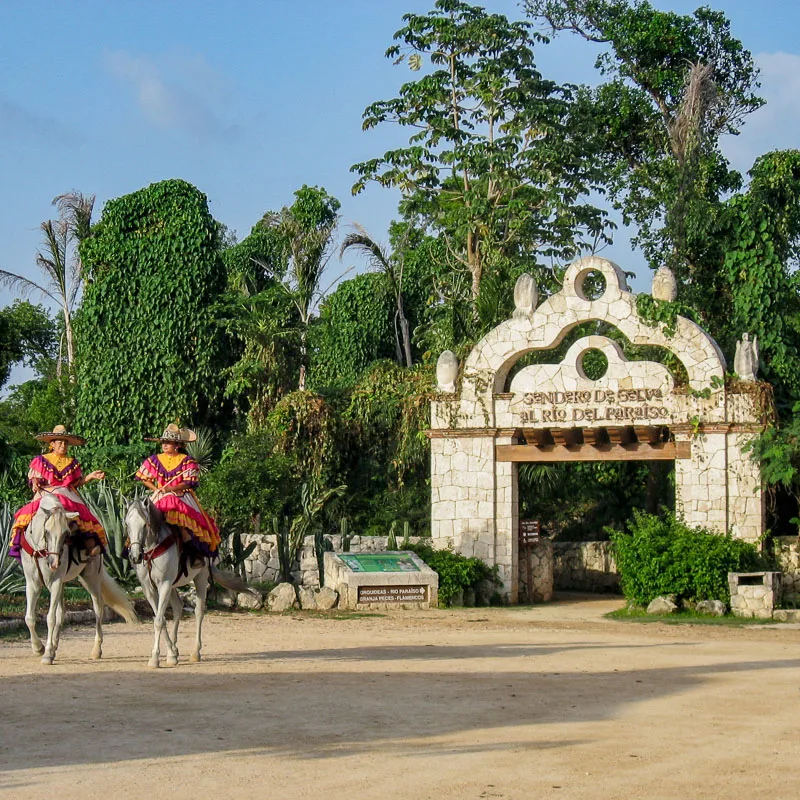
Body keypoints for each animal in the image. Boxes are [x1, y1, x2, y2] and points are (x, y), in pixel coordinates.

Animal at [20, 490, 139, 664]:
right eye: (46, 532)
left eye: (66, 534)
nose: (54, 563)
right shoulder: (32, 583)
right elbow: (29, 618)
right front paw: (38, 648)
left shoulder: (55, 582)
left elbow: (50, 618)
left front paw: (46, 653)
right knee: (61, 612)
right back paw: (54, 646)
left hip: (91, 578)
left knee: (98, 608)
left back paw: (96, 650)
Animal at [126, 500, 252, 668]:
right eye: (127, 524)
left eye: (145, 524)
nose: (135, 556)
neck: (153, 549)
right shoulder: (149, 589)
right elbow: (161, 619)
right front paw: (170, 654)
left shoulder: (164, 584)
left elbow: (159, 621)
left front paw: (154, 658)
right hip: (173, 586)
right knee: (178, 608)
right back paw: (174, 649)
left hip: (200, 578)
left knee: (199, 611)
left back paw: (195, 653)